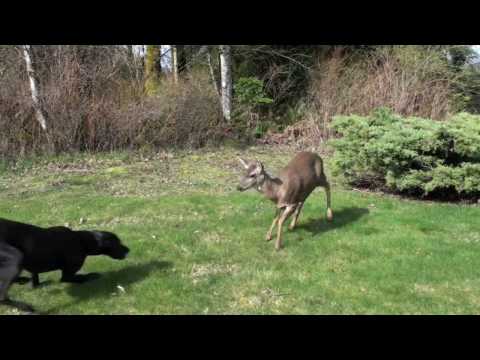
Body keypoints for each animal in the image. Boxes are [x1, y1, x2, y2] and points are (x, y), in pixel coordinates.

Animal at [0, 217, 129, 312]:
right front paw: (92, 276)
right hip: (15, 257)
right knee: (2, 297)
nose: (128, 250)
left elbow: (34, 275)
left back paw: (22, 280)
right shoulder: (68, 274)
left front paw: (35, 284)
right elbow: (78, 278)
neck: (81, 240)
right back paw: (26, 307)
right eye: (117, 242)